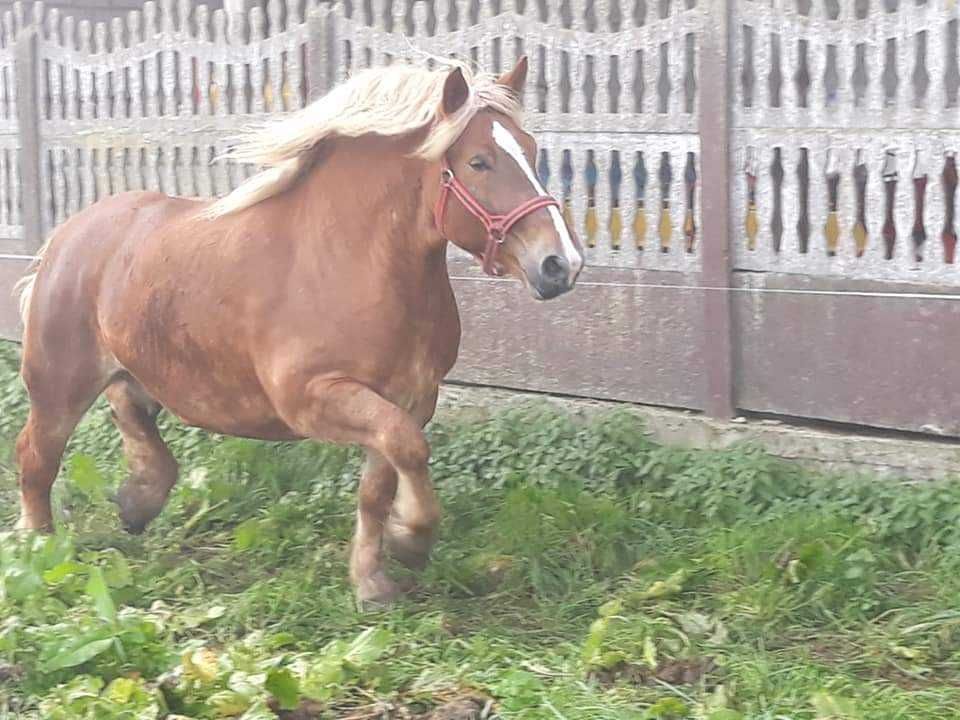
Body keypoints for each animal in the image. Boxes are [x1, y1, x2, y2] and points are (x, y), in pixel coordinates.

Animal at [13, 56, 584, 604]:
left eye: (530, 150)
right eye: (478, 162)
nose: (561, 264)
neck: (352, 260)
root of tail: (68, 233)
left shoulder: (408, 397)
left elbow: (382, 478)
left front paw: (372, 579)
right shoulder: (312, 397)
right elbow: (408, 449)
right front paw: (412, 540)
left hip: (135, 367)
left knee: (130, 415)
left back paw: (137, 500)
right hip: (59, 385)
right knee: (36, 456)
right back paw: (39, 550)